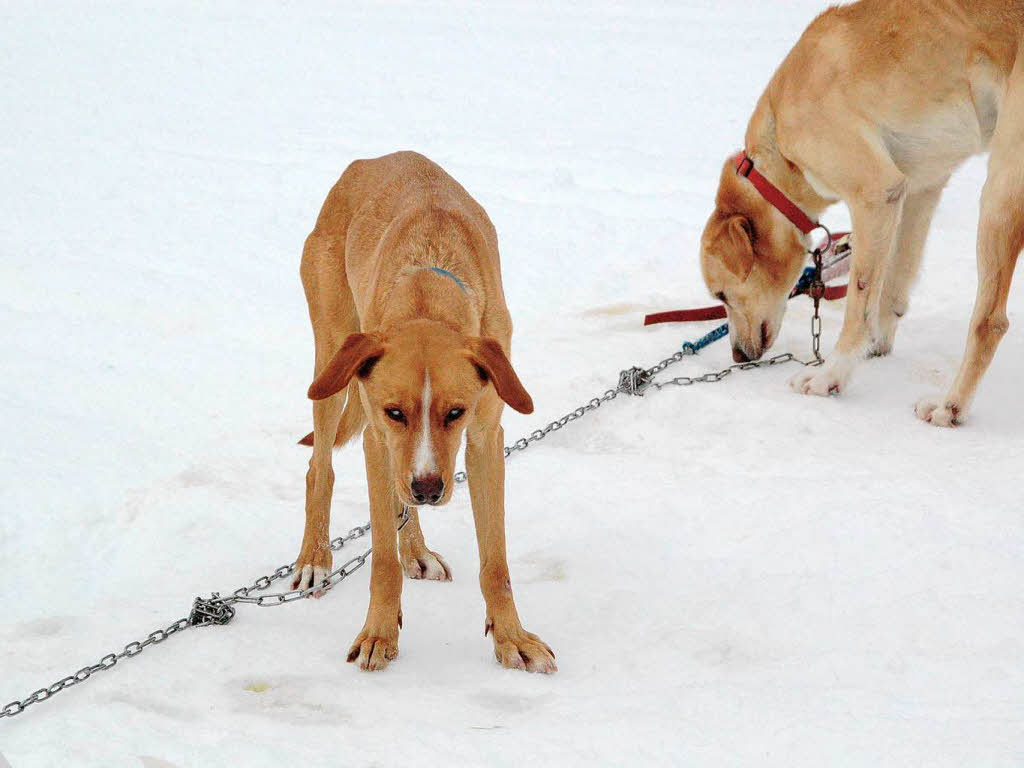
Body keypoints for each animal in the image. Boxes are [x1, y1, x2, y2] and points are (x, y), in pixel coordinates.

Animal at [292, 150, 557, 671]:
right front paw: (378, 634)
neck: (426, 289)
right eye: (395, 411)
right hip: (331, 355)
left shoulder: (485, 438)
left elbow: (496, 562)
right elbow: (381, 560)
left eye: (456, 413)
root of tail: (365, 162)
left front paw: (511, 638)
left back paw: (415, 549)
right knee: (320, 466)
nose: (430, 489)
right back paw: (315, 557)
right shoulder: (380, 439)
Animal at [700, 0, 1019, 428]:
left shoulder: (875, 194)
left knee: (990, 322)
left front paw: (832, 375)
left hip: (999, 193)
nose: (737, 356)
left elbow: (859, 303)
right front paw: (876, 346)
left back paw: (950, 406)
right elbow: (892, 287)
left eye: (721, 294)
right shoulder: (919, 190)